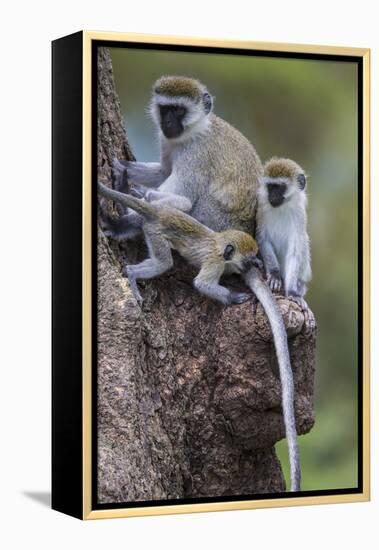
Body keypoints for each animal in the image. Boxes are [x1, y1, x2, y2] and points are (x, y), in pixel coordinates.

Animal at [99, 184, 262, 306]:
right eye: (247, 261)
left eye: (252, 259)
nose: (250, 266)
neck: (220, 244)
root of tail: (160, 213)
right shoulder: (215, 263)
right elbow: (202, 284)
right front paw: (233, 297)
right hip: (155, 233)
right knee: (163, 263)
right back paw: (132, 273)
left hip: (164, 210)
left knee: (184, 203)